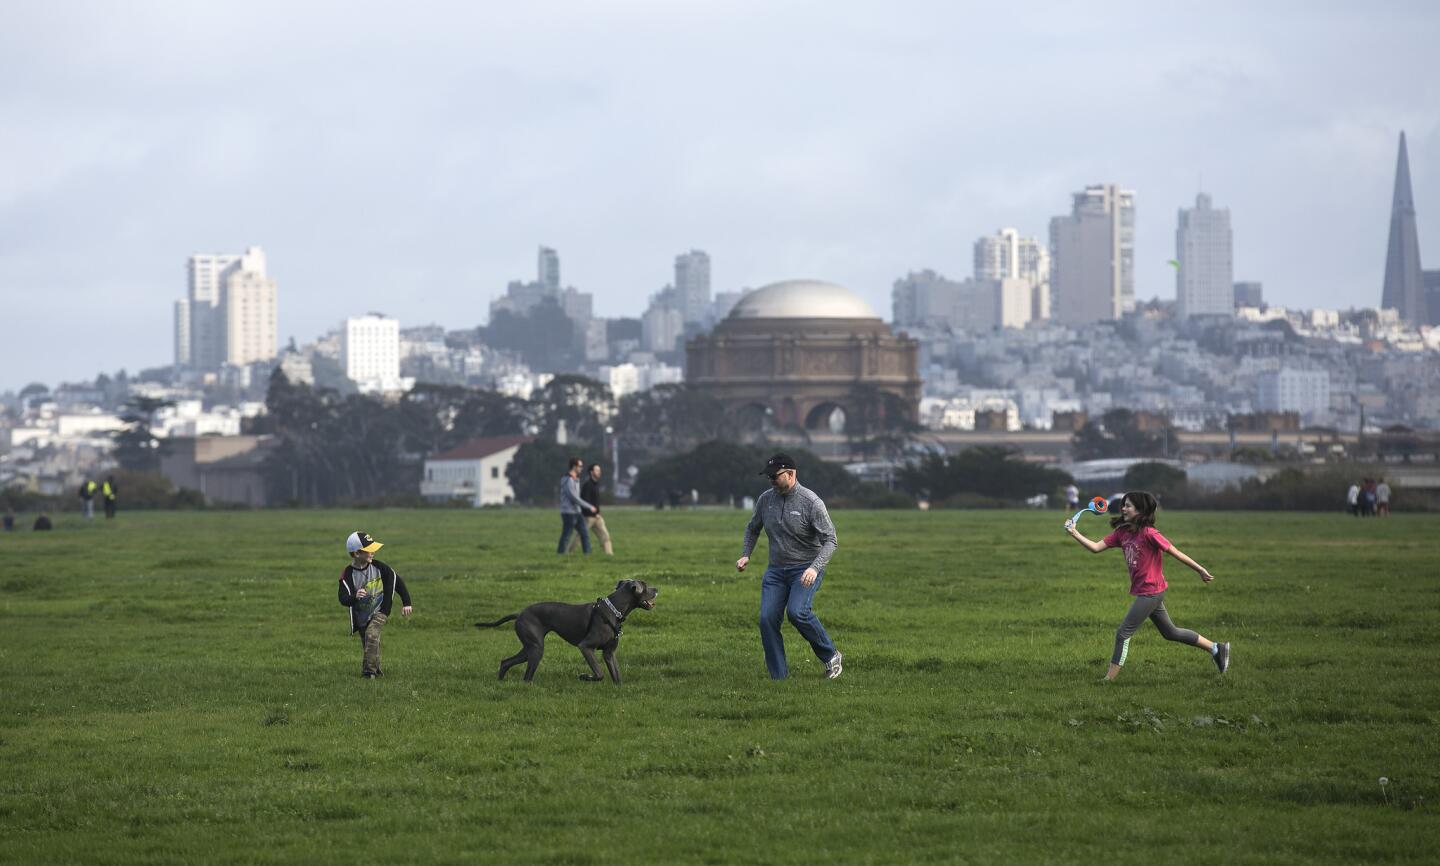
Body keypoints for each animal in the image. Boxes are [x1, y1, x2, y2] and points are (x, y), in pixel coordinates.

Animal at [475, 582, 659, 683]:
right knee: (526, 677)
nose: (657, 589)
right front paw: (585, 677)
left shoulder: (609, 653)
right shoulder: (585, 647)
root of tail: (519, 614)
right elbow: (599, 674)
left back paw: (500, 681)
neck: (613, 611)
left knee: (506, 662)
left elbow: (616, 675)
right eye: (645, 585)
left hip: (529, 648)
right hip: (536, 649)